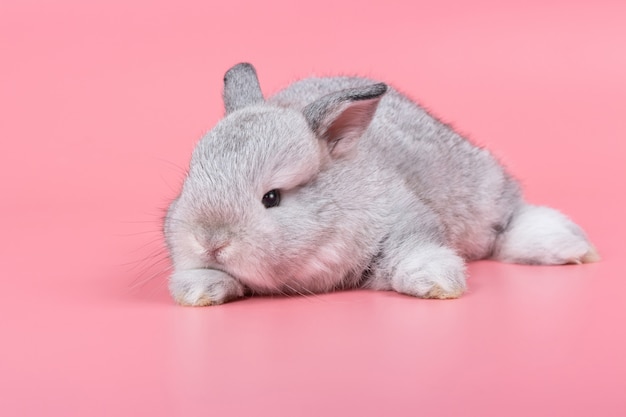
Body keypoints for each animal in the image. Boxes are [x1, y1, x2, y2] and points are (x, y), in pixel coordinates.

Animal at [163, 61, 596, 306]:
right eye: (191, 180)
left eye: (272, 197)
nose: (210, 241)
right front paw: (199, 291)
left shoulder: (405, 219)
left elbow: (416, 252)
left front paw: (437, 284)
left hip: (483, 194)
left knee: (510, 223)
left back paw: (569, 246)